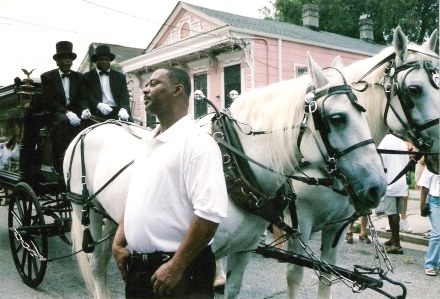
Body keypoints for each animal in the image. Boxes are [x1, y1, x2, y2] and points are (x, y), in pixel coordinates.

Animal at [63, 52, 386, 298]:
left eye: (363, 112)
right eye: (338, 118)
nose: (377, 187)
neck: (235, 167)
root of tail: (95, 126)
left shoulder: (243, 251)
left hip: (109, 215)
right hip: (85, 207)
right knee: (96, 265)